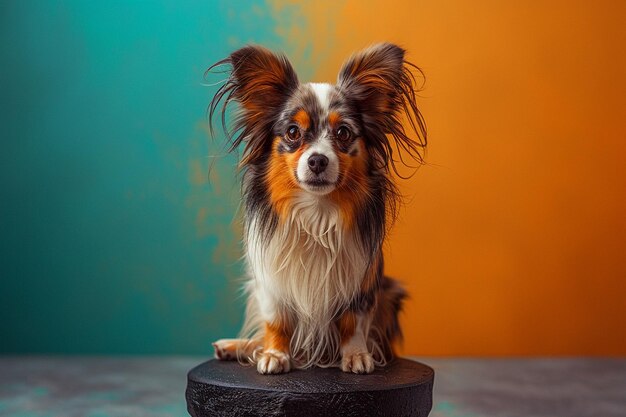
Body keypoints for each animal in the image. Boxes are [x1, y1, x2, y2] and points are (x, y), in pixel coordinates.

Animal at [208, 42, 424, 374]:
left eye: (344, 133)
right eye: (293, 132)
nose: (318, 160)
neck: (317, 213)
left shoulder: (361, 283)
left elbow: (353, 323)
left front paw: (356, 355)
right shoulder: (271, 282)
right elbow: (276, 322)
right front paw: (275, 354)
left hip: (389, 293)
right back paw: (235, 346)